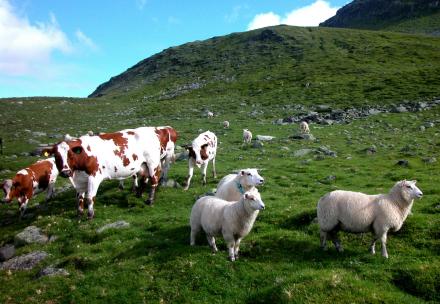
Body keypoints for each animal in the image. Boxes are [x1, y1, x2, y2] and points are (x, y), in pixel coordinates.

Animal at [42, 126, 171, 218]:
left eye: (70, 154)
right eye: (56, 156)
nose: (65, 172)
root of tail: (153, 130)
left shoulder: (94, 176)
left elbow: (90, 197)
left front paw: (90, 215)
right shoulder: (79, 180)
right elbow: (79, 197)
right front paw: (79, 213)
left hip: (152, 163)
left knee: (153, 180)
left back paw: (150, 200)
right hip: (143, 165)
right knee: (144, 178)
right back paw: (139, 194)